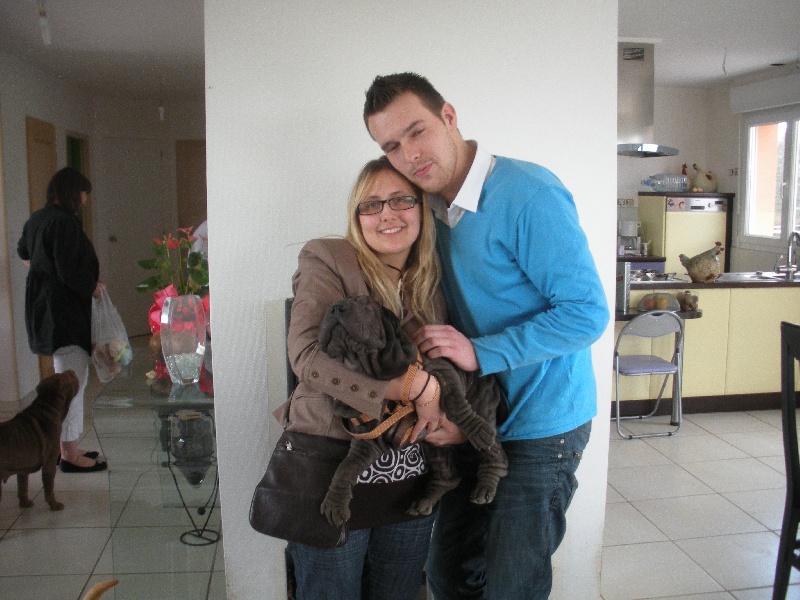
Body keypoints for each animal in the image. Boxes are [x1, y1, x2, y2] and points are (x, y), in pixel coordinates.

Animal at [0, 370, 80, 511]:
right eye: (69, 377)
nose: (72, 371)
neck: (46, 406)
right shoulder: (50, 461)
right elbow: (49, 488)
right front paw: (54, 505)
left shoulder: (23, 467)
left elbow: (22, 486)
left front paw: (25, 503)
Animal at [317, 295, 508, 526]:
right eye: (332, 305)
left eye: (367, 305)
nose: (336, 308)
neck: (363, 366)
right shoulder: (368, 440)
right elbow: (345, 468)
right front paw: (335, 502)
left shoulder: (440, 369)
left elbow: (454, 402)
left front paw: (475, 427)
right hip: (434, 447)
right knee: (447, 476)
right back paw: (425, 500)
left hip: (483, 407)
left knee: (496, 456)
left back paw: (485, 484)